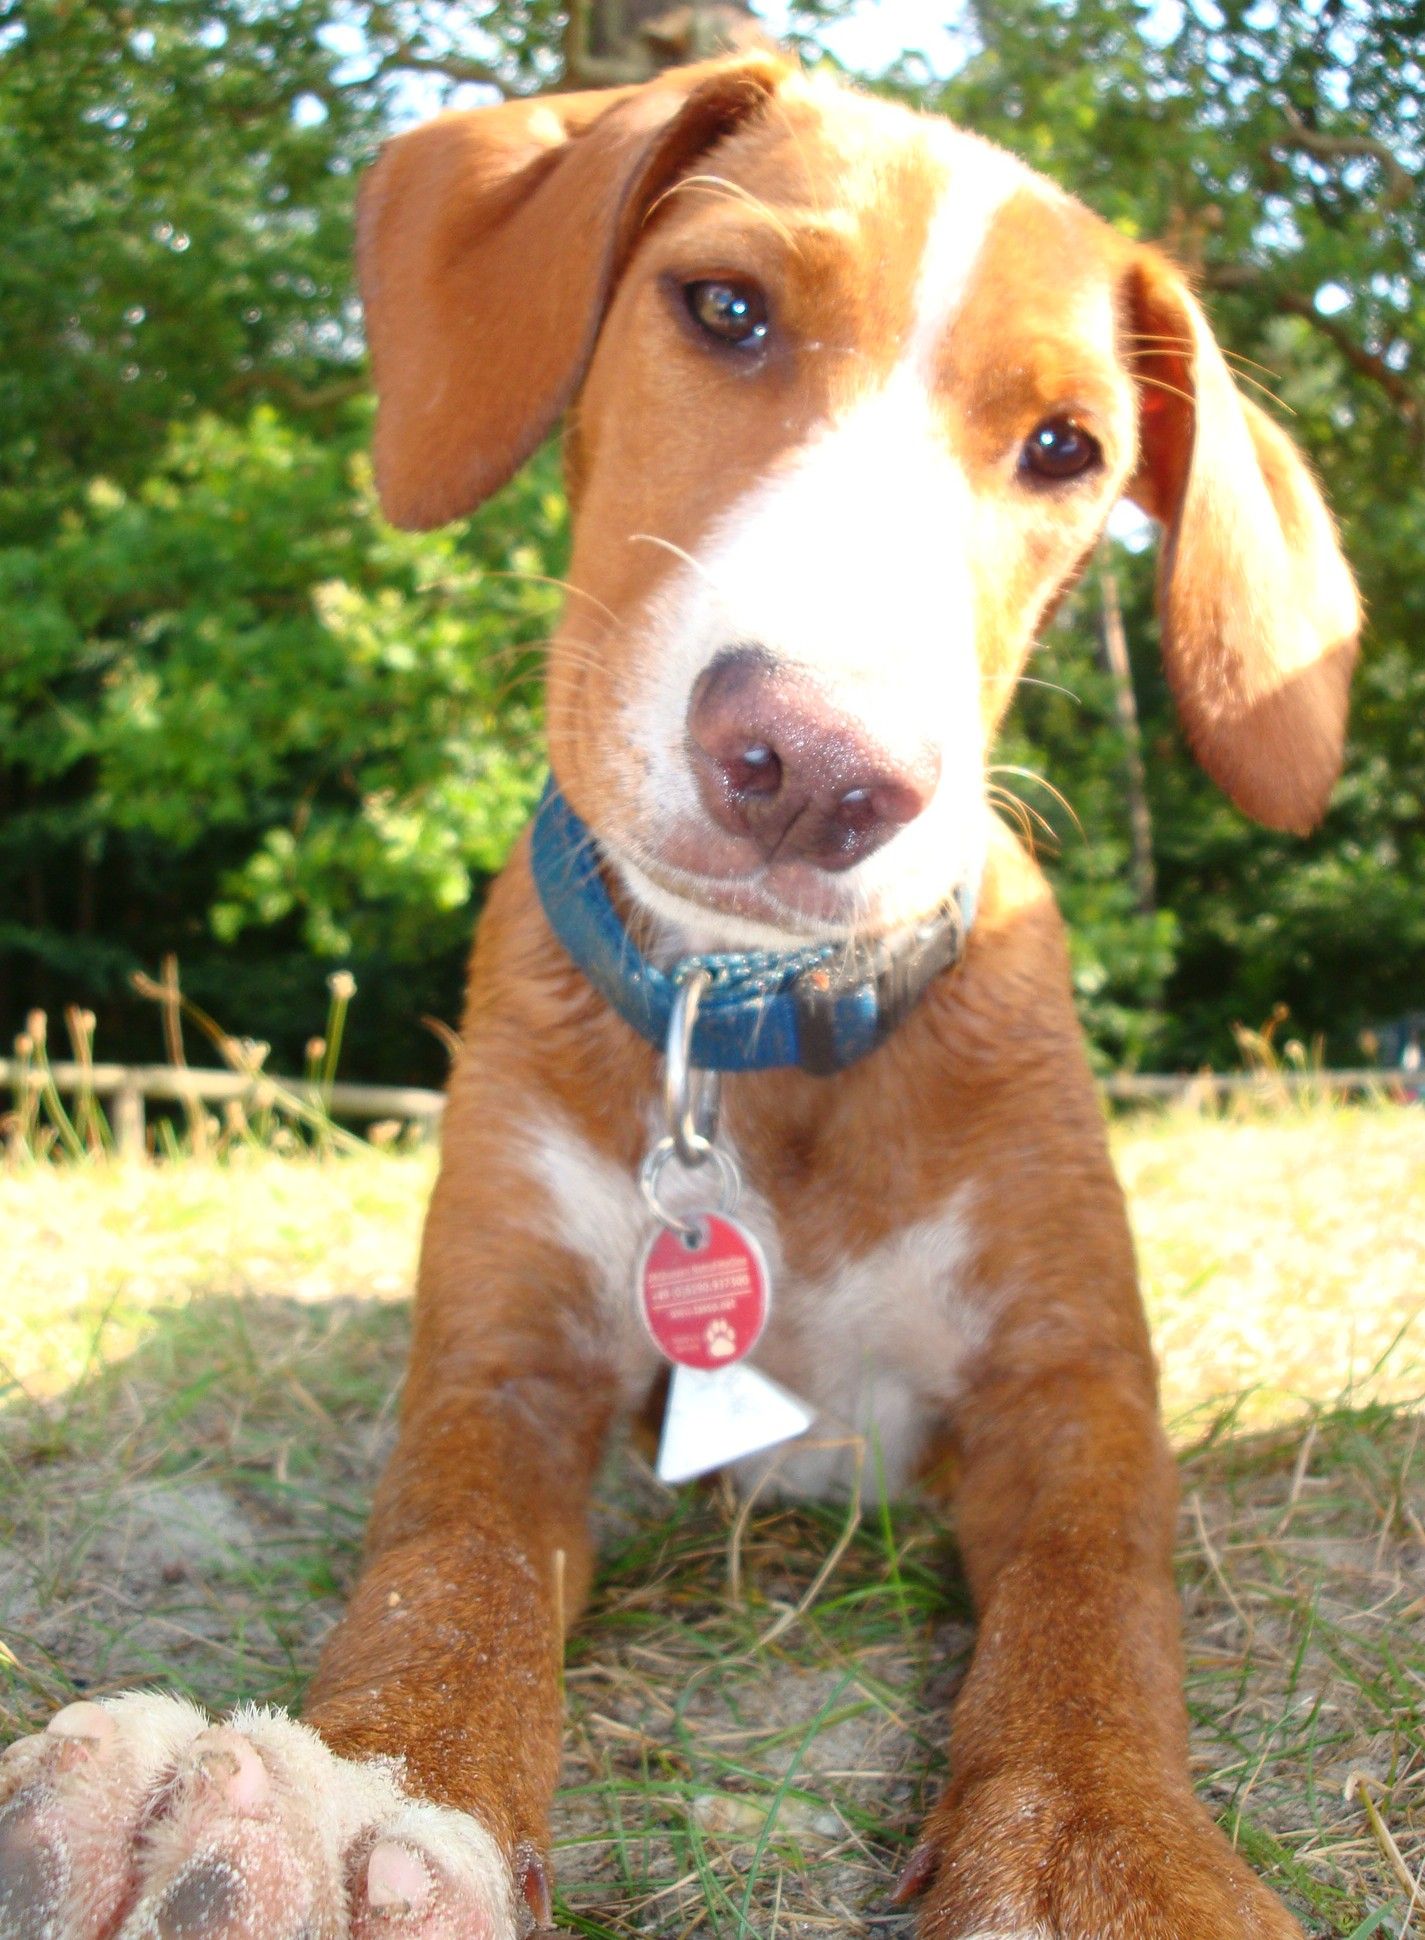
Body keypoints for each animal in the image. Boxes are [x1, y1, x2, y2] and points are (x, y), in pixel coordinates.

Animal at [0, 45, 1357, 1940]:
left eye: (1066, 447)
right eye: (724, 307)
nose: (822, 768)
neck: (754, 1024)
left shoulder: (1072, 1385)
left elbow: (1099, 1607)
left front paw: (1113, 1856)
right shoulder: (504, 1362)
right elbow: (448, 1558)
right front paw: (356, 1789)